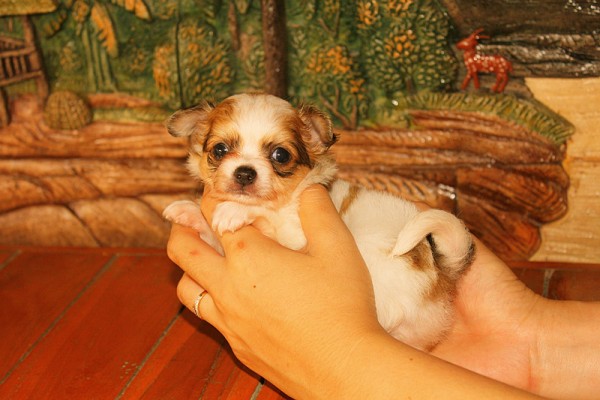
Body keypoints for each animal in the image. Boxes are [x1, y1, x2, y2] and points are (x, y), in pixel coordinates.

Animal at [163, 93, 475, 351]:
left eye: (280, 155)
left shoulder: (296, 234)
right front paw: (190, 211)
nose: (244, 172)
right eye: (219, 150)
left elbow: (269, 216)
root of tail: (441, 267)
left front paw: (236, 211)